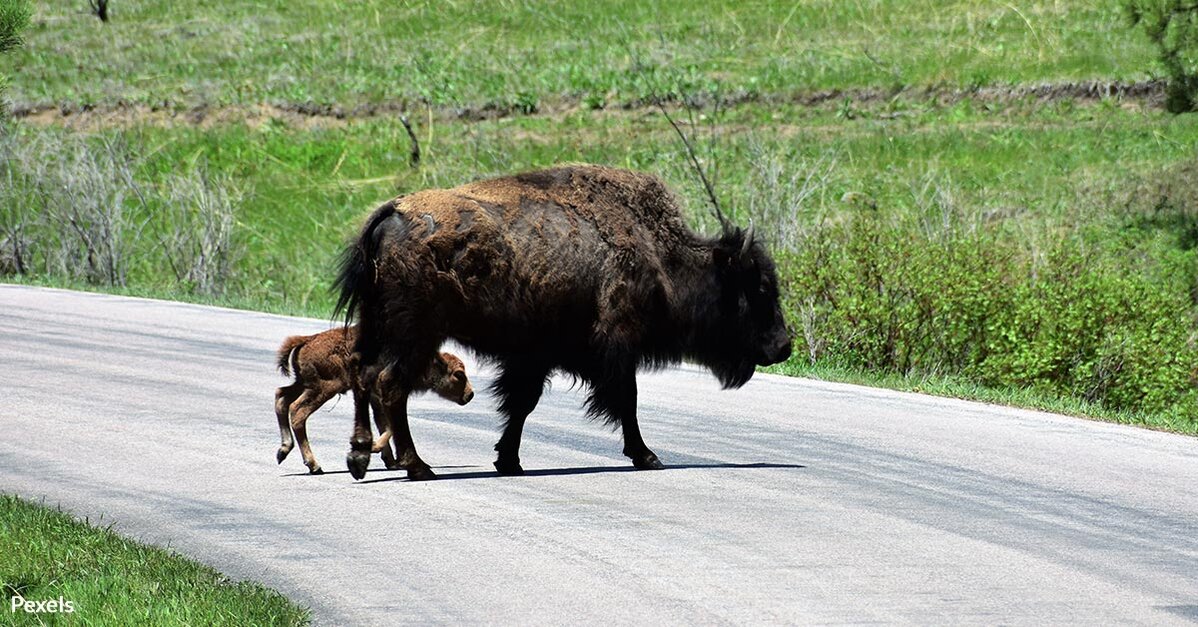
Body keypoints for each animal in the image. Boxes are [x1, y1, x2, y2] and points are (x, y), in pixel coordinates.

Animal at [274, 328, 474, 477]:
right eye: (458, 374)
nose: (470, 394)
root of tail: (308, 340)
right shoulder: (386, 397)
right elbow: (391, 426)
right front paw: (373, 448)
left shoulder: (376, 400)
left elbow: (383, 424)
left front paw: (391, 462)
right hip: (324, 388)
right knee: (297, 411)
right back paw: (315, 466)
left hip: (303, 384)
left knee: (281, 397)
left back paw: (283, 451)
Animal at [333, 163, 790, 481]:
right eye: (760, 290)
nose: (783, 346)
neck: (659, 256)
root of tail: (392, 212)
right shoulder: (616, 347)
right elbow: (626, 401)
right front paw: (647, 457)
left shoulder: (534, 357)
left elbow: (522, 404)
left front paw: (508, 461)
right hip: (415, 335)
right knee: (391, 385)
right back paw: (417, 466)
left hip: (377, 329)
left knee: (364, 374)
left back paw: (359, 456)